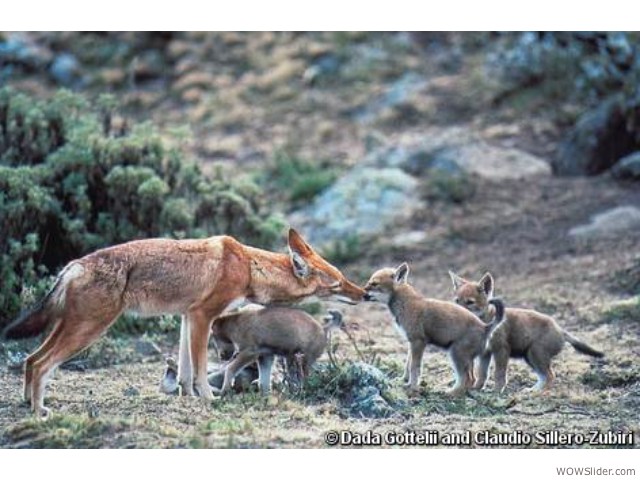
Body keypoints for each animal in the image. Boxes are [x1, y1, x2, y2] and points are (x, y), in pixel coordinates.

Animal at [3, 229, 364, 416]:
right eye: (338, 284)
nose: (363, 293)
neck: (248, 266)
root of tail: (74, 265)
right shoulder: (203, 316)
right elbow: (202, 368)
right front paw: (208, 398)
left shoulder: (187, 317)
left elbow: (185, 369)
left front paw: (187, 397)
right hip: (88, 331)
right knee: (41, 364)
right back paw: (39, 411)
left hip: (74, 329)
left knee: (30, 359)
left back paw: (26, 403)